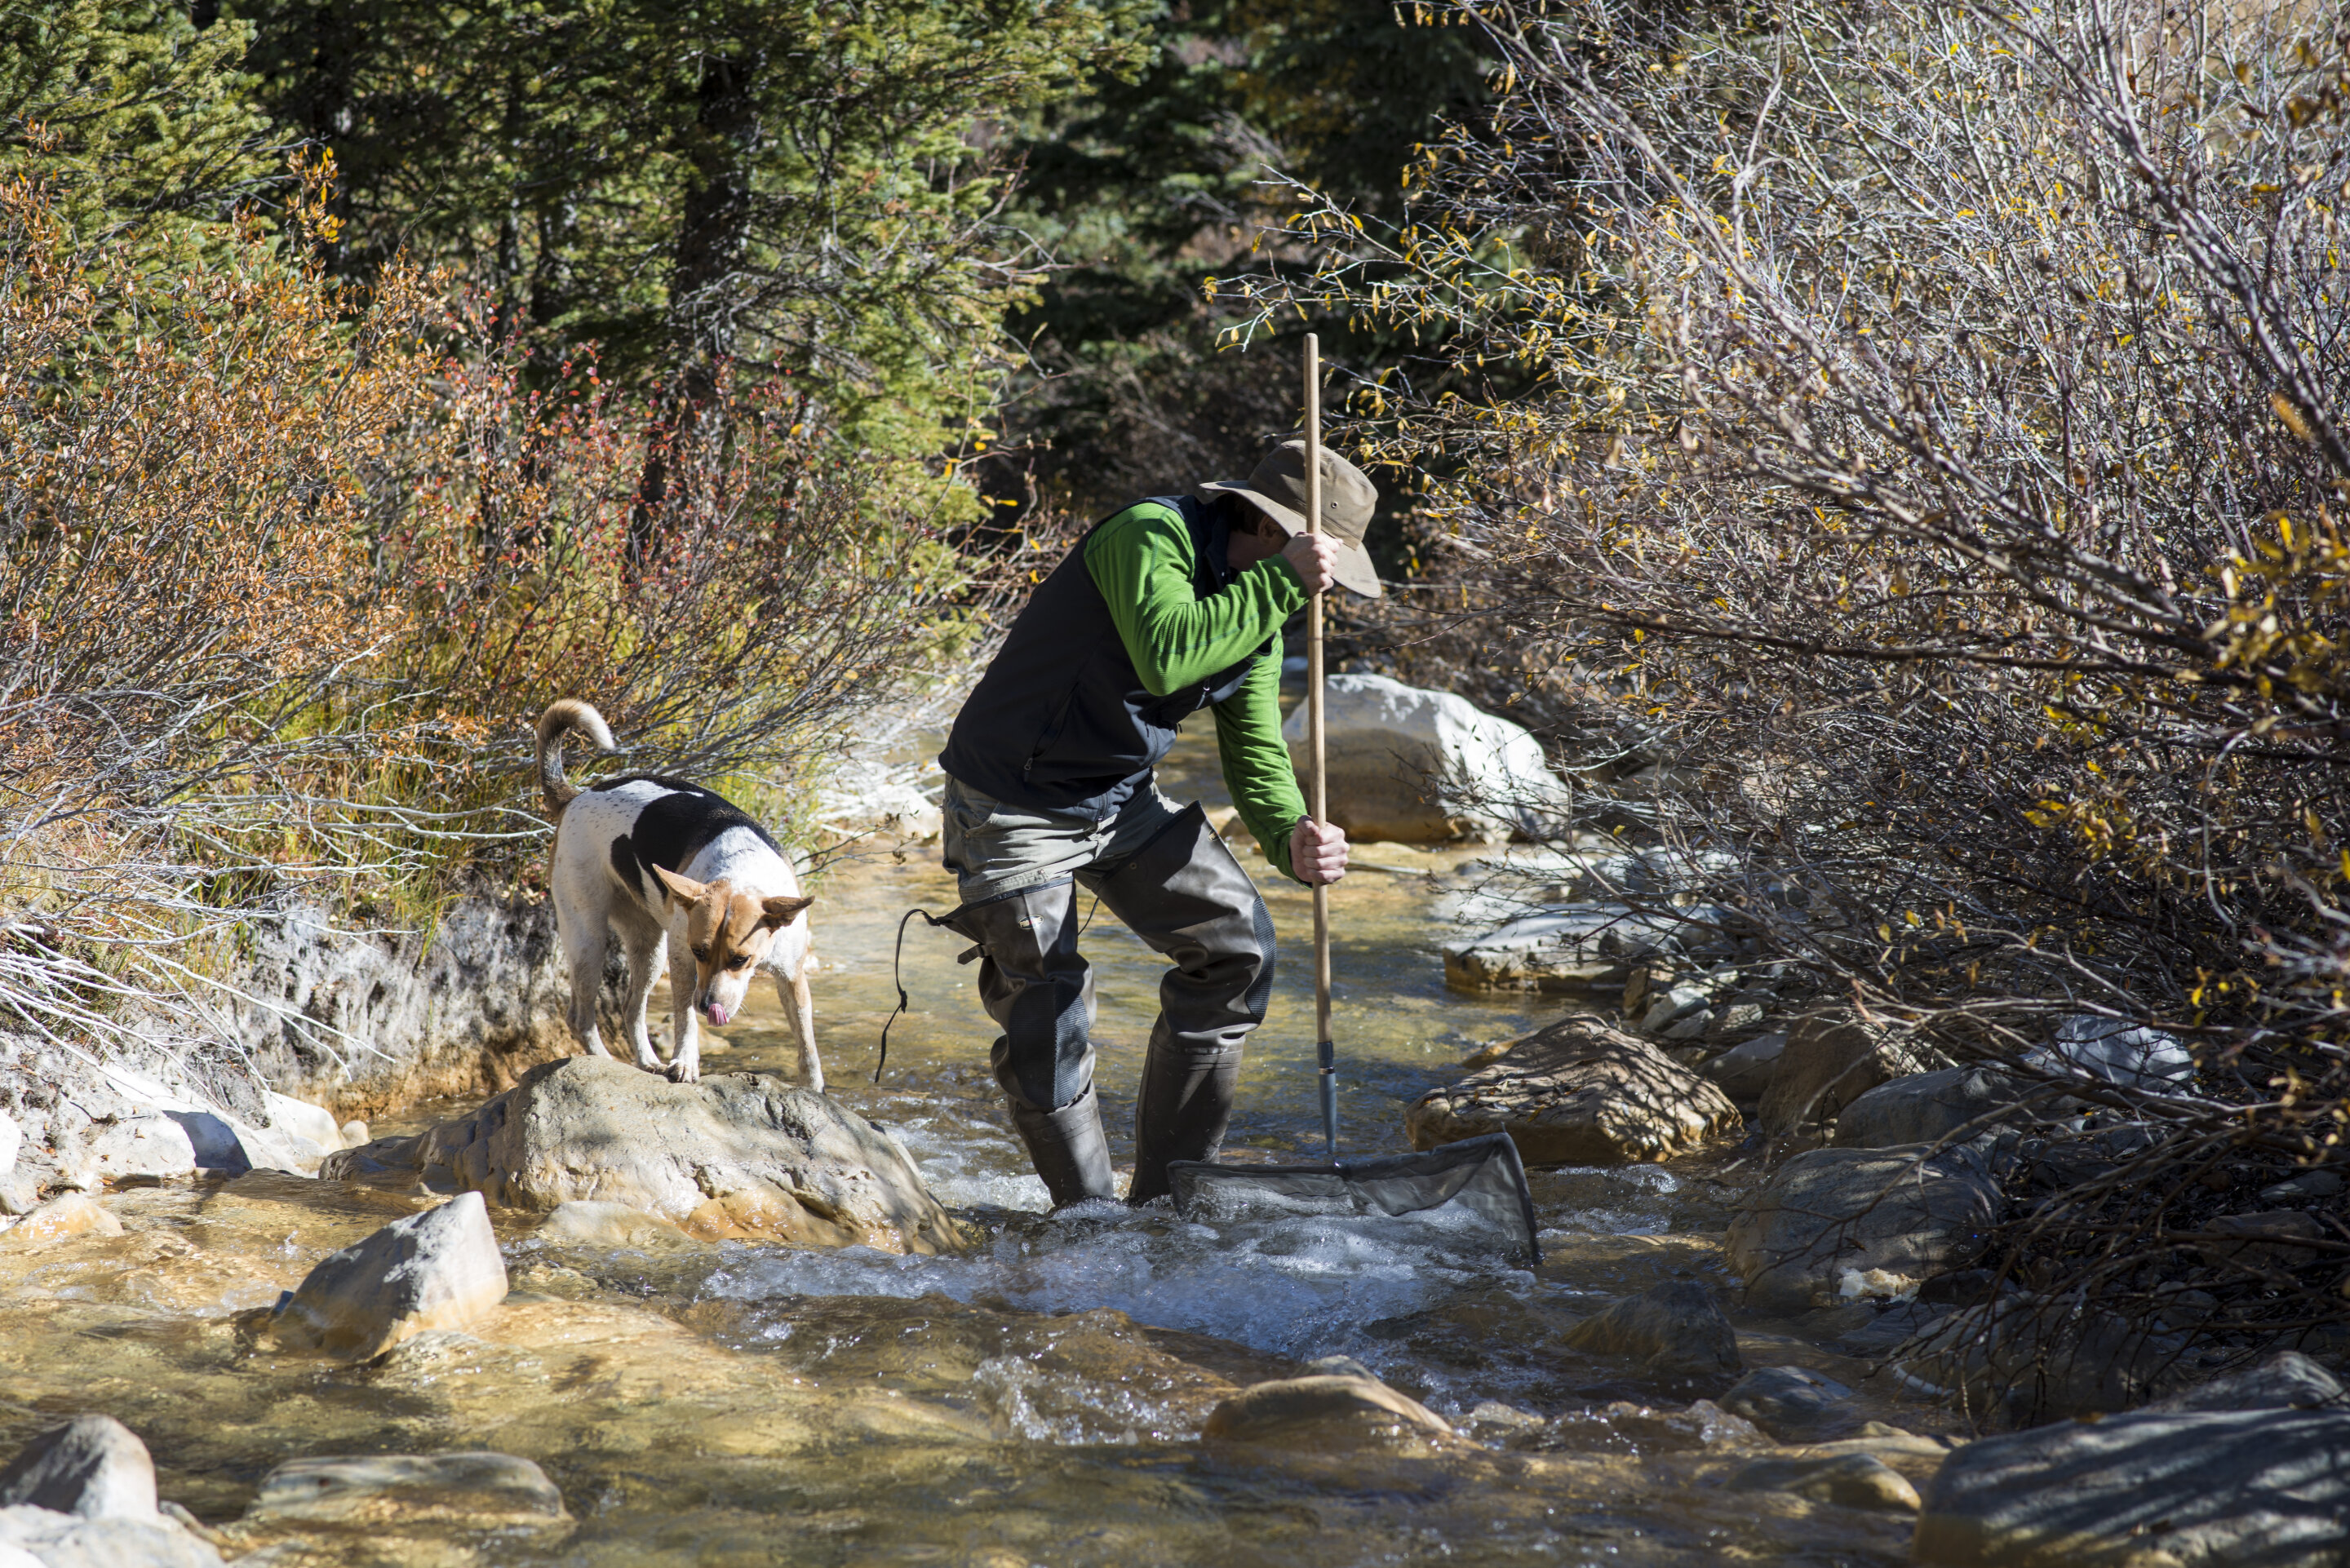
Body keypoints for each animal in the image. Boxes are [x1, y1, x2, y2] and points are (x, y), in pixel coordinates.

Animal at [538, 700, 822, 1086]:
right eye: (700, 952)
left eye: (740, 960)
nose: (707, 1006)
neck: (741, 872)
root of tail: (576, 796)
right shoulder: (683, 959)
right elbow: (684, 1018)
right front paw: (686, 1061)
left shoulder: (793, 977)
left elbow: (806, 1042)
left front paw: (814, 1088)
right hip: (589, 939)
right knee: (581, 1017)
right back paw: (607, 1061)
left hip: (648, 948)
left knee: (631, 1007)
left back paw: (648, 1062)